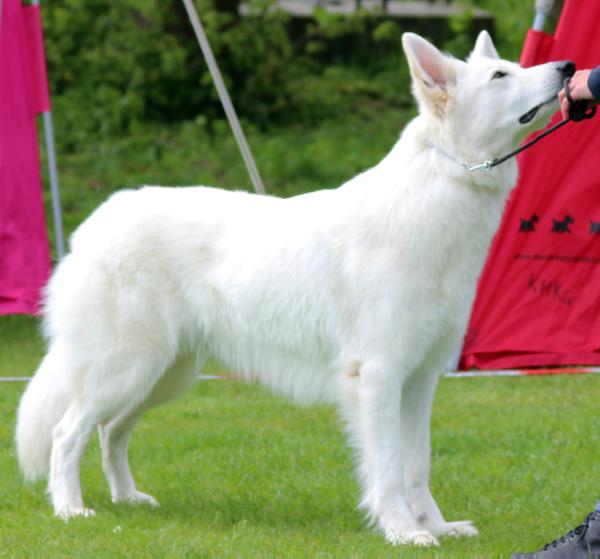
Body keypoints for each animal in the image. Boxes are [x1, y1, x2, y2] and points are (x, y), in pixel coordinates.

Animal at [16, 30, 572, 548]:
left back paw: (128, 499)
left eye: (516, 66)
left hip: (163, 375)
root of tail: (93, 225)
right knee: (68, 433)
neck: (438, 197)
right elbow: (389, 469)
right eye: (500, 76)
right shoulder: (378, 376)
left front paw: (435, 527)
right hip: (126, 368)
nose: (568, 67)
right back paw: (71, 510)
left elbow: (418, 466)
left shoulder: (420, 379)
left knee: (110, 431)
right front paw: (401, 532)